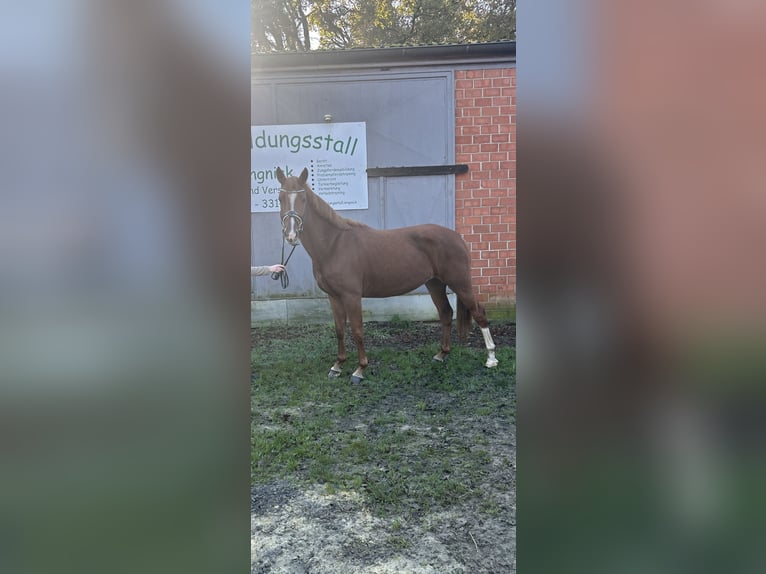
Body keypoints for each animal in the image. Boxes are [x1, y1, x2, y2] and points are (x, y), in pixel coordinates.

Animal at [276, 168, 498, 382]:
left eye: (303, 199)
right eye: (280, 198)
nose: (291, 235)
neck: (334, 245)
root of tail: (457, 237)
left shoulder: (351, 296)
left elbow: (357, 330)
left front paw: (359, 369)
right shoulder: (334, 296)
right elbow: (339, 330)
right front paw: (337, 366)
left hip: (460, 282)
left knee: (479, 312)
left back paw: (491, 358)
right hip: (435, 283)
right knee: (445, 313)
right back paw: (441, 354)